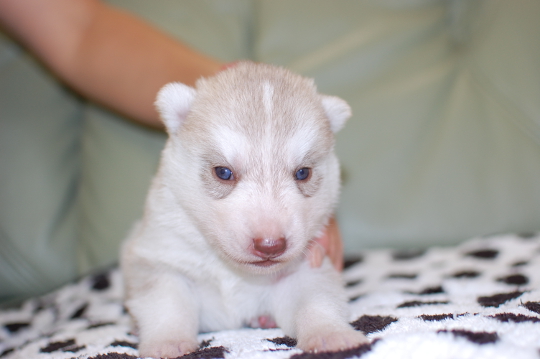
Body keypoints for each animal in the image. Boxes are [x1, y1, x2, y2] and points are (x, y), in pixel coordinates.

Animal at [121, 62, 368, 359]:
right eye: (223, 172)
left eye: (303, 173)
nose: (270, 245)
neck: (233, 271)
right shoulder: (160, 256)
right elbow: (166, 303)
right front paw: (168, 343)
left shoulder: (308, 266)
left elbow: (317, 300)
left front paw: (331, 335)